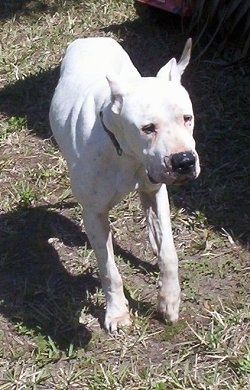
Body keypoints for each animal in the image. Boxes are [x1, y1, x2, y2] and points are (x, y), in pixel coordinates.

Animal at [49, 37, 200, 332]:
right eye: (148, 128)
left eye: (187, 118)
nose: (184, 161)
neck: (125, 153)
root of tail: (91, 38)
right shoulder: (94, 215)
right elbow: (109, 271)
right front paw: (117, 312)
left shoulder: (155, 190)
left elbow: (169, 252)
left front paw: (169, 300)